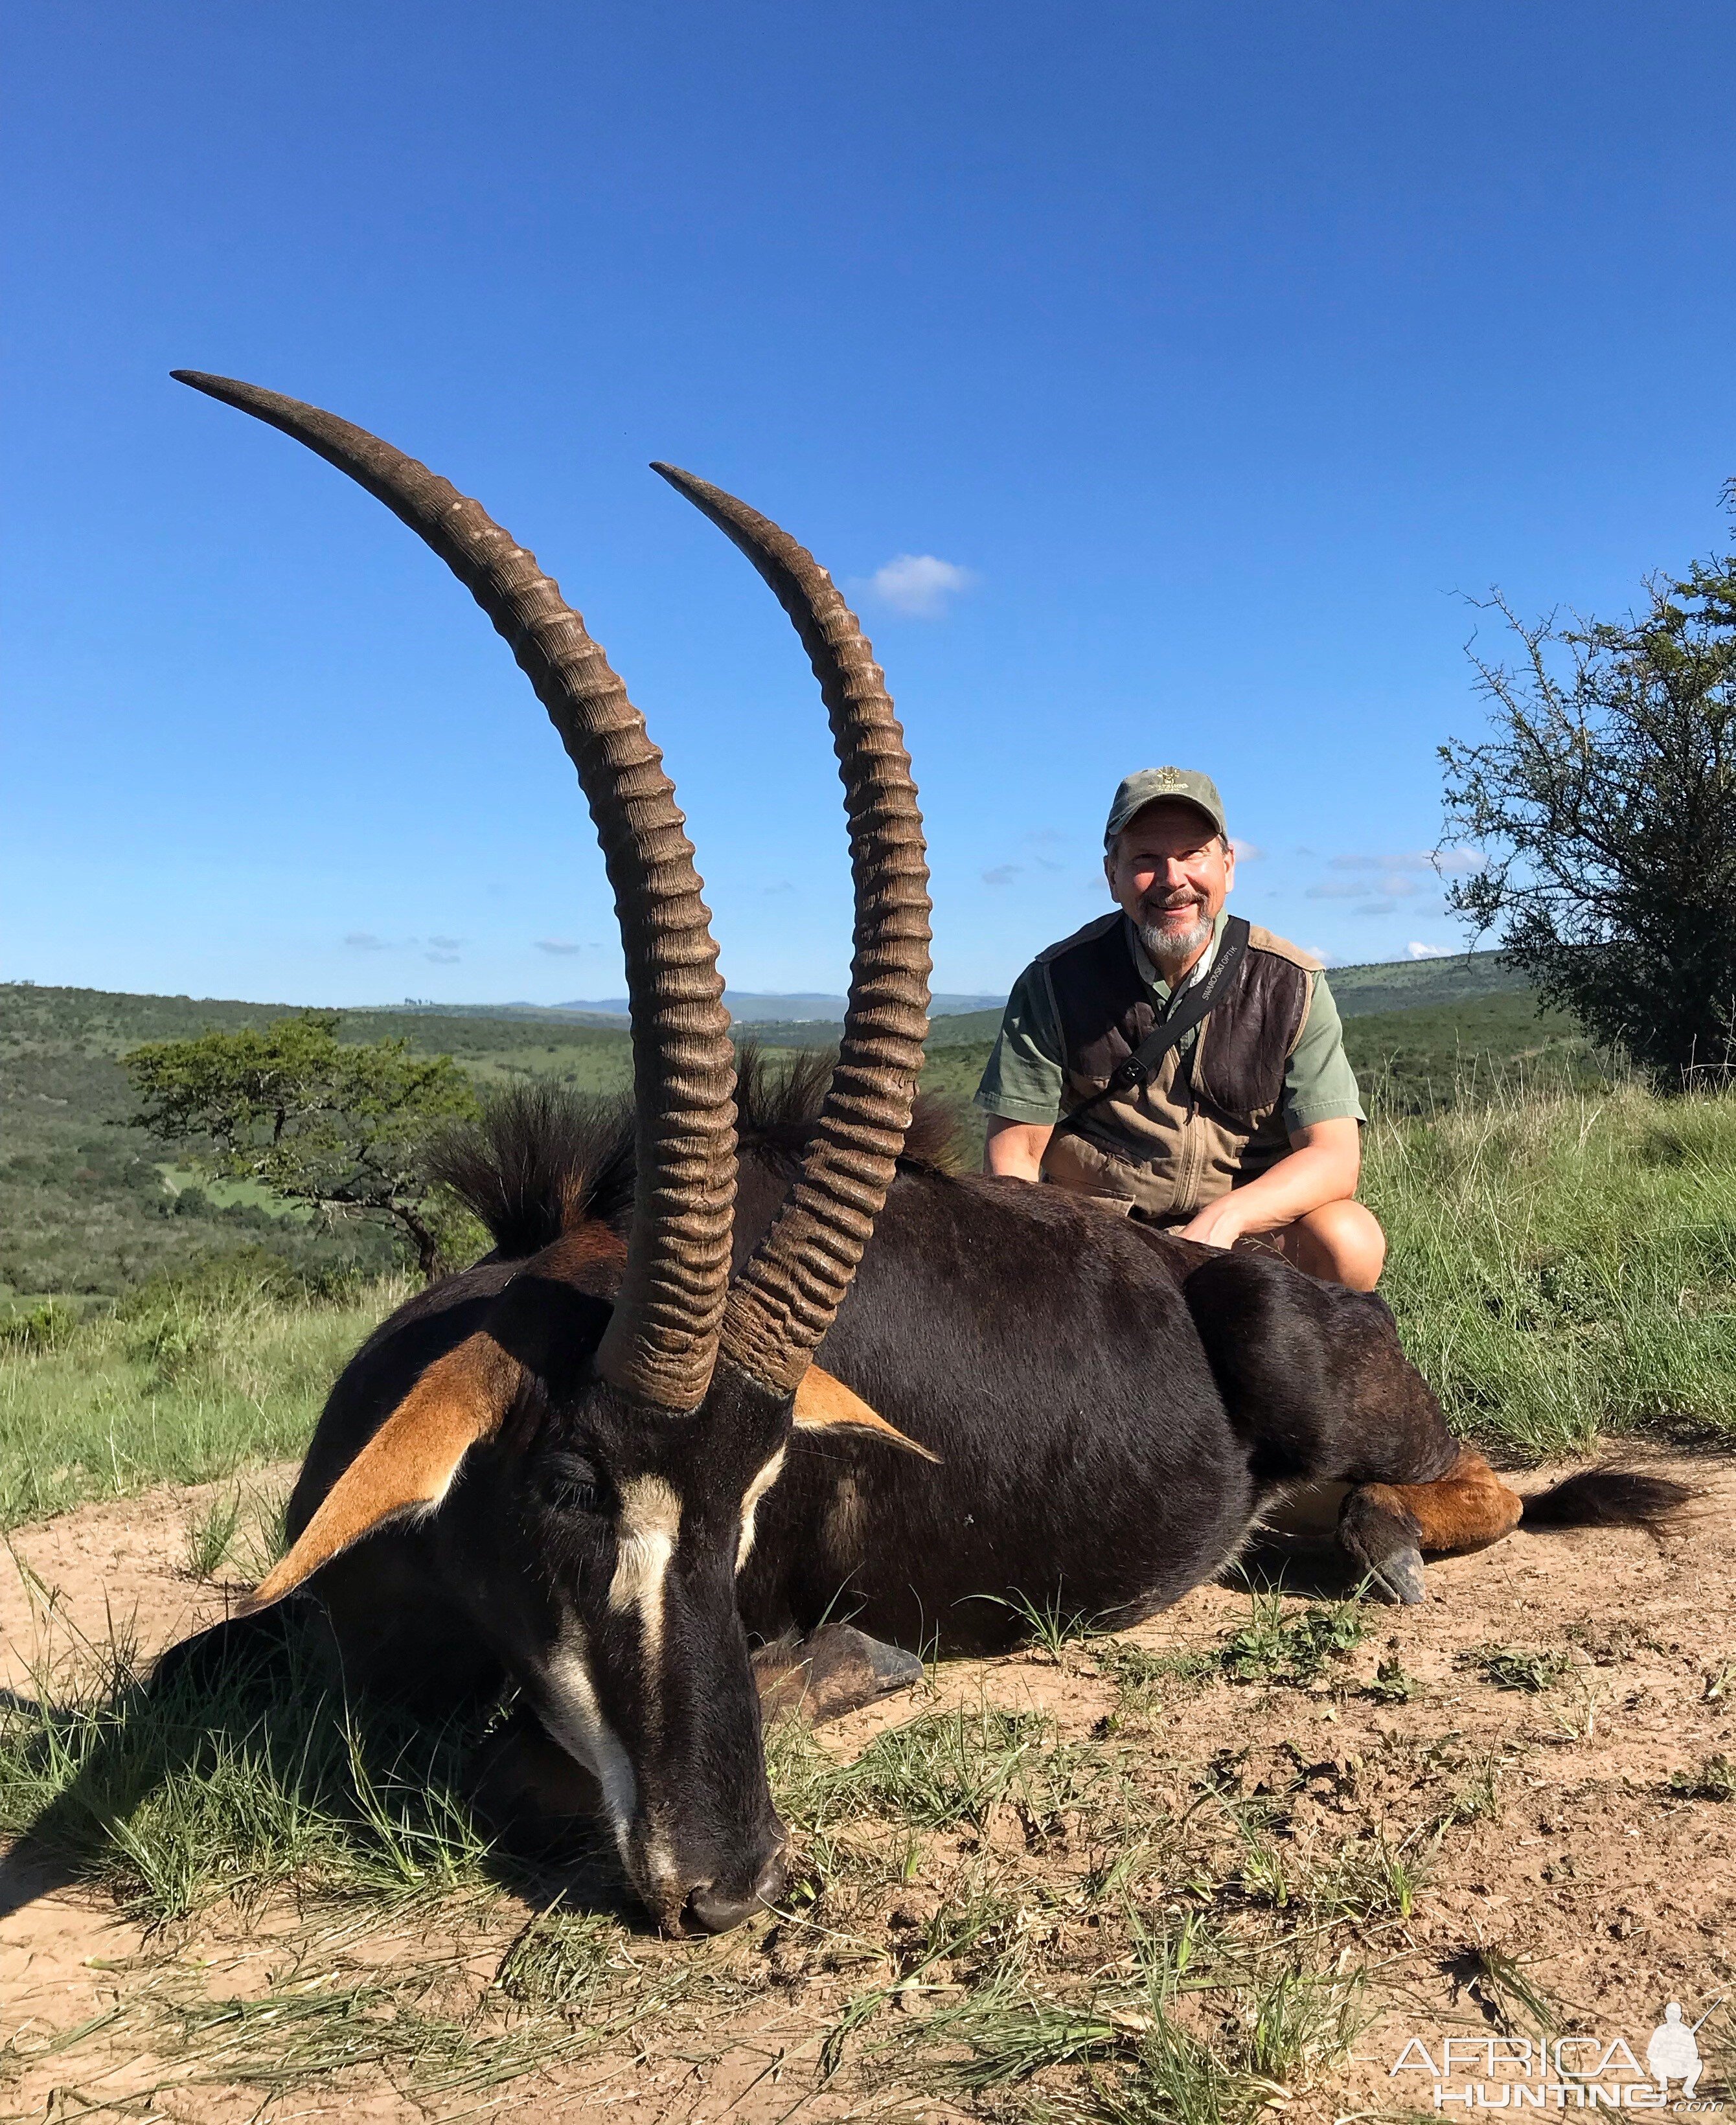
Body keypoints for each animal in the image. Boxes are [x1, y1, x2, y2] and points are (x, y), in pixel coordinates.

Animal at [168, 374, 1682, 1938]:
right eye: (572, 1485)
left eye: (751, 1499)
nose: (728, 1880)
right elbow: (189, 1664)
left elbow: (520, 1754)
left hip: (1315, 1358)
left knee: (1478, 1485)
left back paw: (1380, 1537)